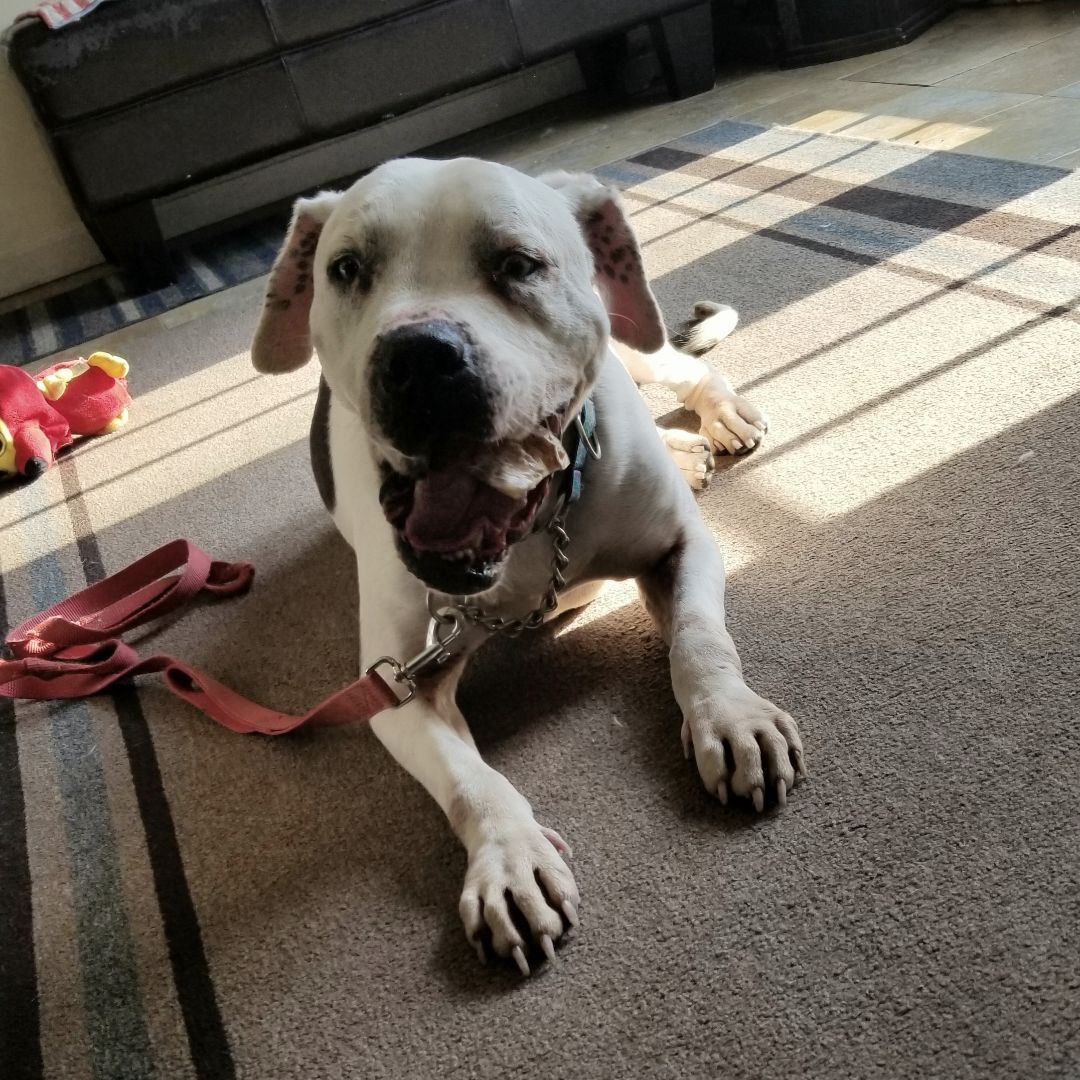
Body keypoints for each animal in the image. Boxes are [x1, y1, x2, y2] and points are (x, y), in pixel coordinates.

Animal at [250, 156, 803, 976]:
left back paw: (716, 416)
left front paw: (732, 718)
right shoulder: (396, 686)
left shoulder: (686, 547)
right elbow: (471, 782)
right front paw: (509, 860)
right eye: (346, 268)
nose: (418, 357)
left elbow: (701, 643)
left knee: (677, 368)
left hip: (636, 341)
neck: (541, 529)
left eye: (518, 264)